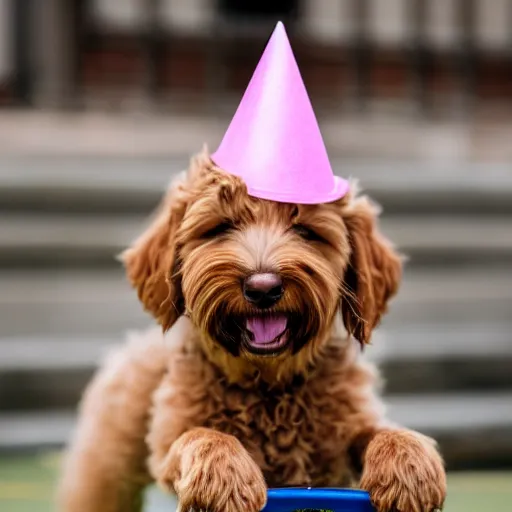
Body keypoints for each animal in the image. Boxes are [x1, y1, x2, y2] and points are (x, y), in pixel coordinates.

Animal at [56, 149, 446, 512]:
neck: (268, 384)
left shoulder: (347, 426)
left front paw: (408, 465)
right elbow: (202, 435)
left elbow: (380, 431)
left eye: (306, 232)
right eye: (220, 227)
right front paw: (225, 477)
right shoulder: (168, 440)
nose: (262, 288)